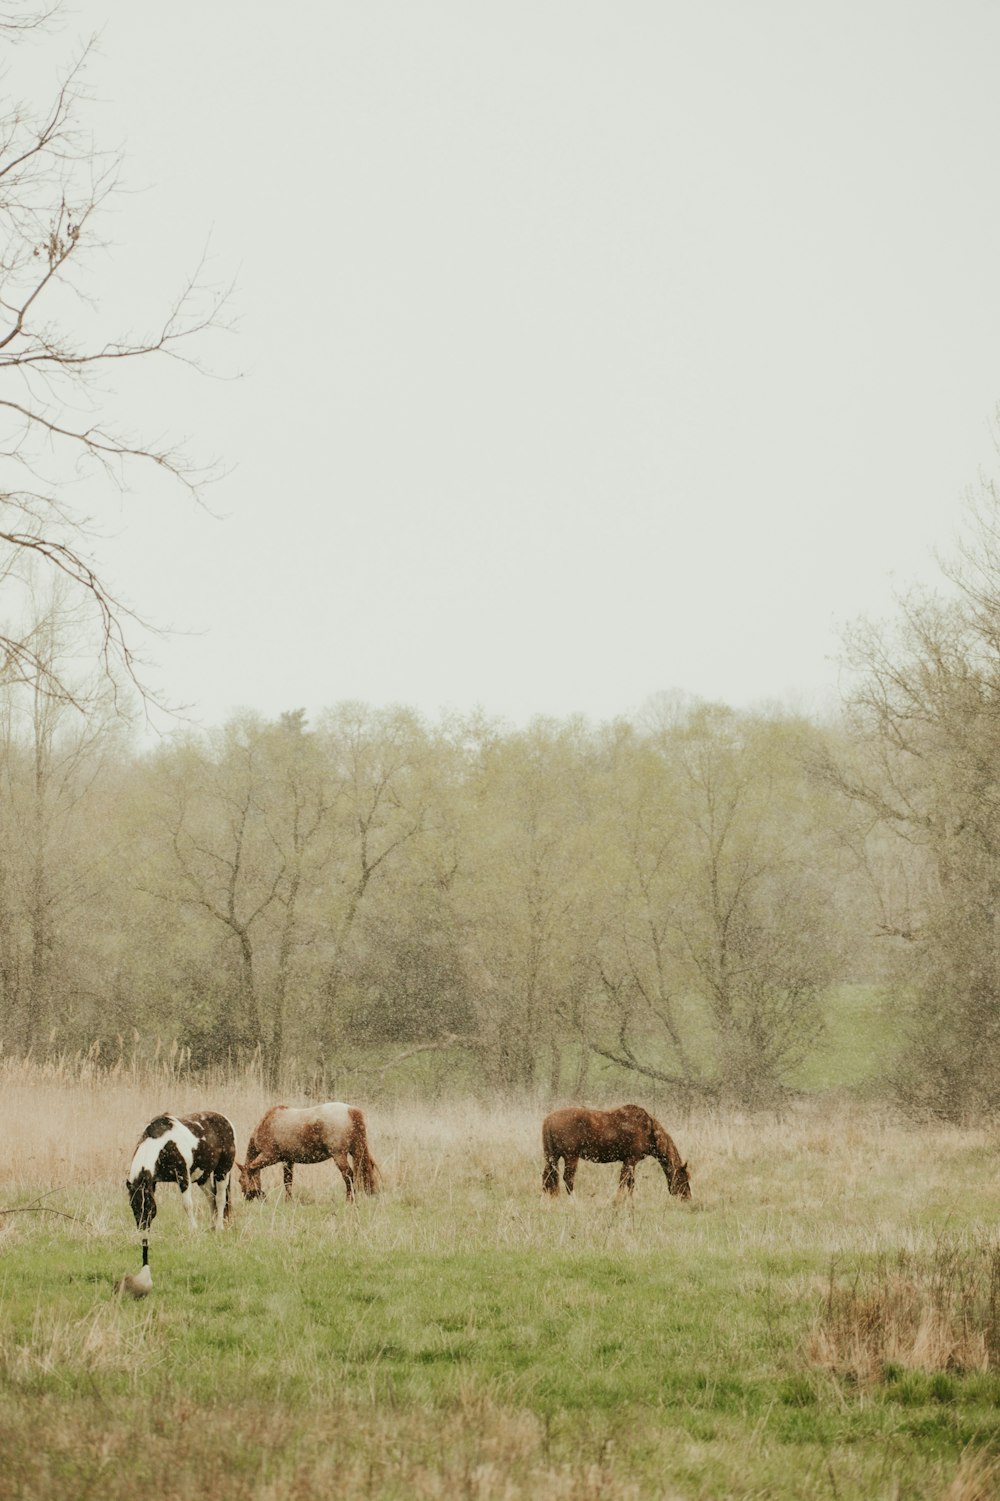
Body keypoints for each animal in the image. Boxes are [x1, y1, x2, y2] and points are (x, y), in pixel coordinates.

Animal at [237, 1098, 381, 1200]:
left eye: (239, 1180)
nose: (247, 1197)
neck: (268, 1123)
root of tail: (350, 1110)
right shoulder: (288, 1161)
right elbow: (288, 1181)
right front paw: (288, 1201)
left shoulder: (269, 1156)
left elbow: (252, 1168)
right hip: (357, 1151)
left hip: (339, 1155)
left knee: (348, 1175)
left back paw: (349, 1199)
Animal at [540, 1110, 690, 1200]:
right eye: (683, 1178)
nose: (687, 1197)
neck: (649, 1130)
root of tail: (548, 1120)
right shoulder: (630, 1160)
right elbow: (624, 1182)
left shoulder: (630, 1162)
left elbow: (630, 1183)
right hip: (571, 1156)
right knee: (567, 1178)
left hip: (552, 1157)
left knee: (548, 1176)